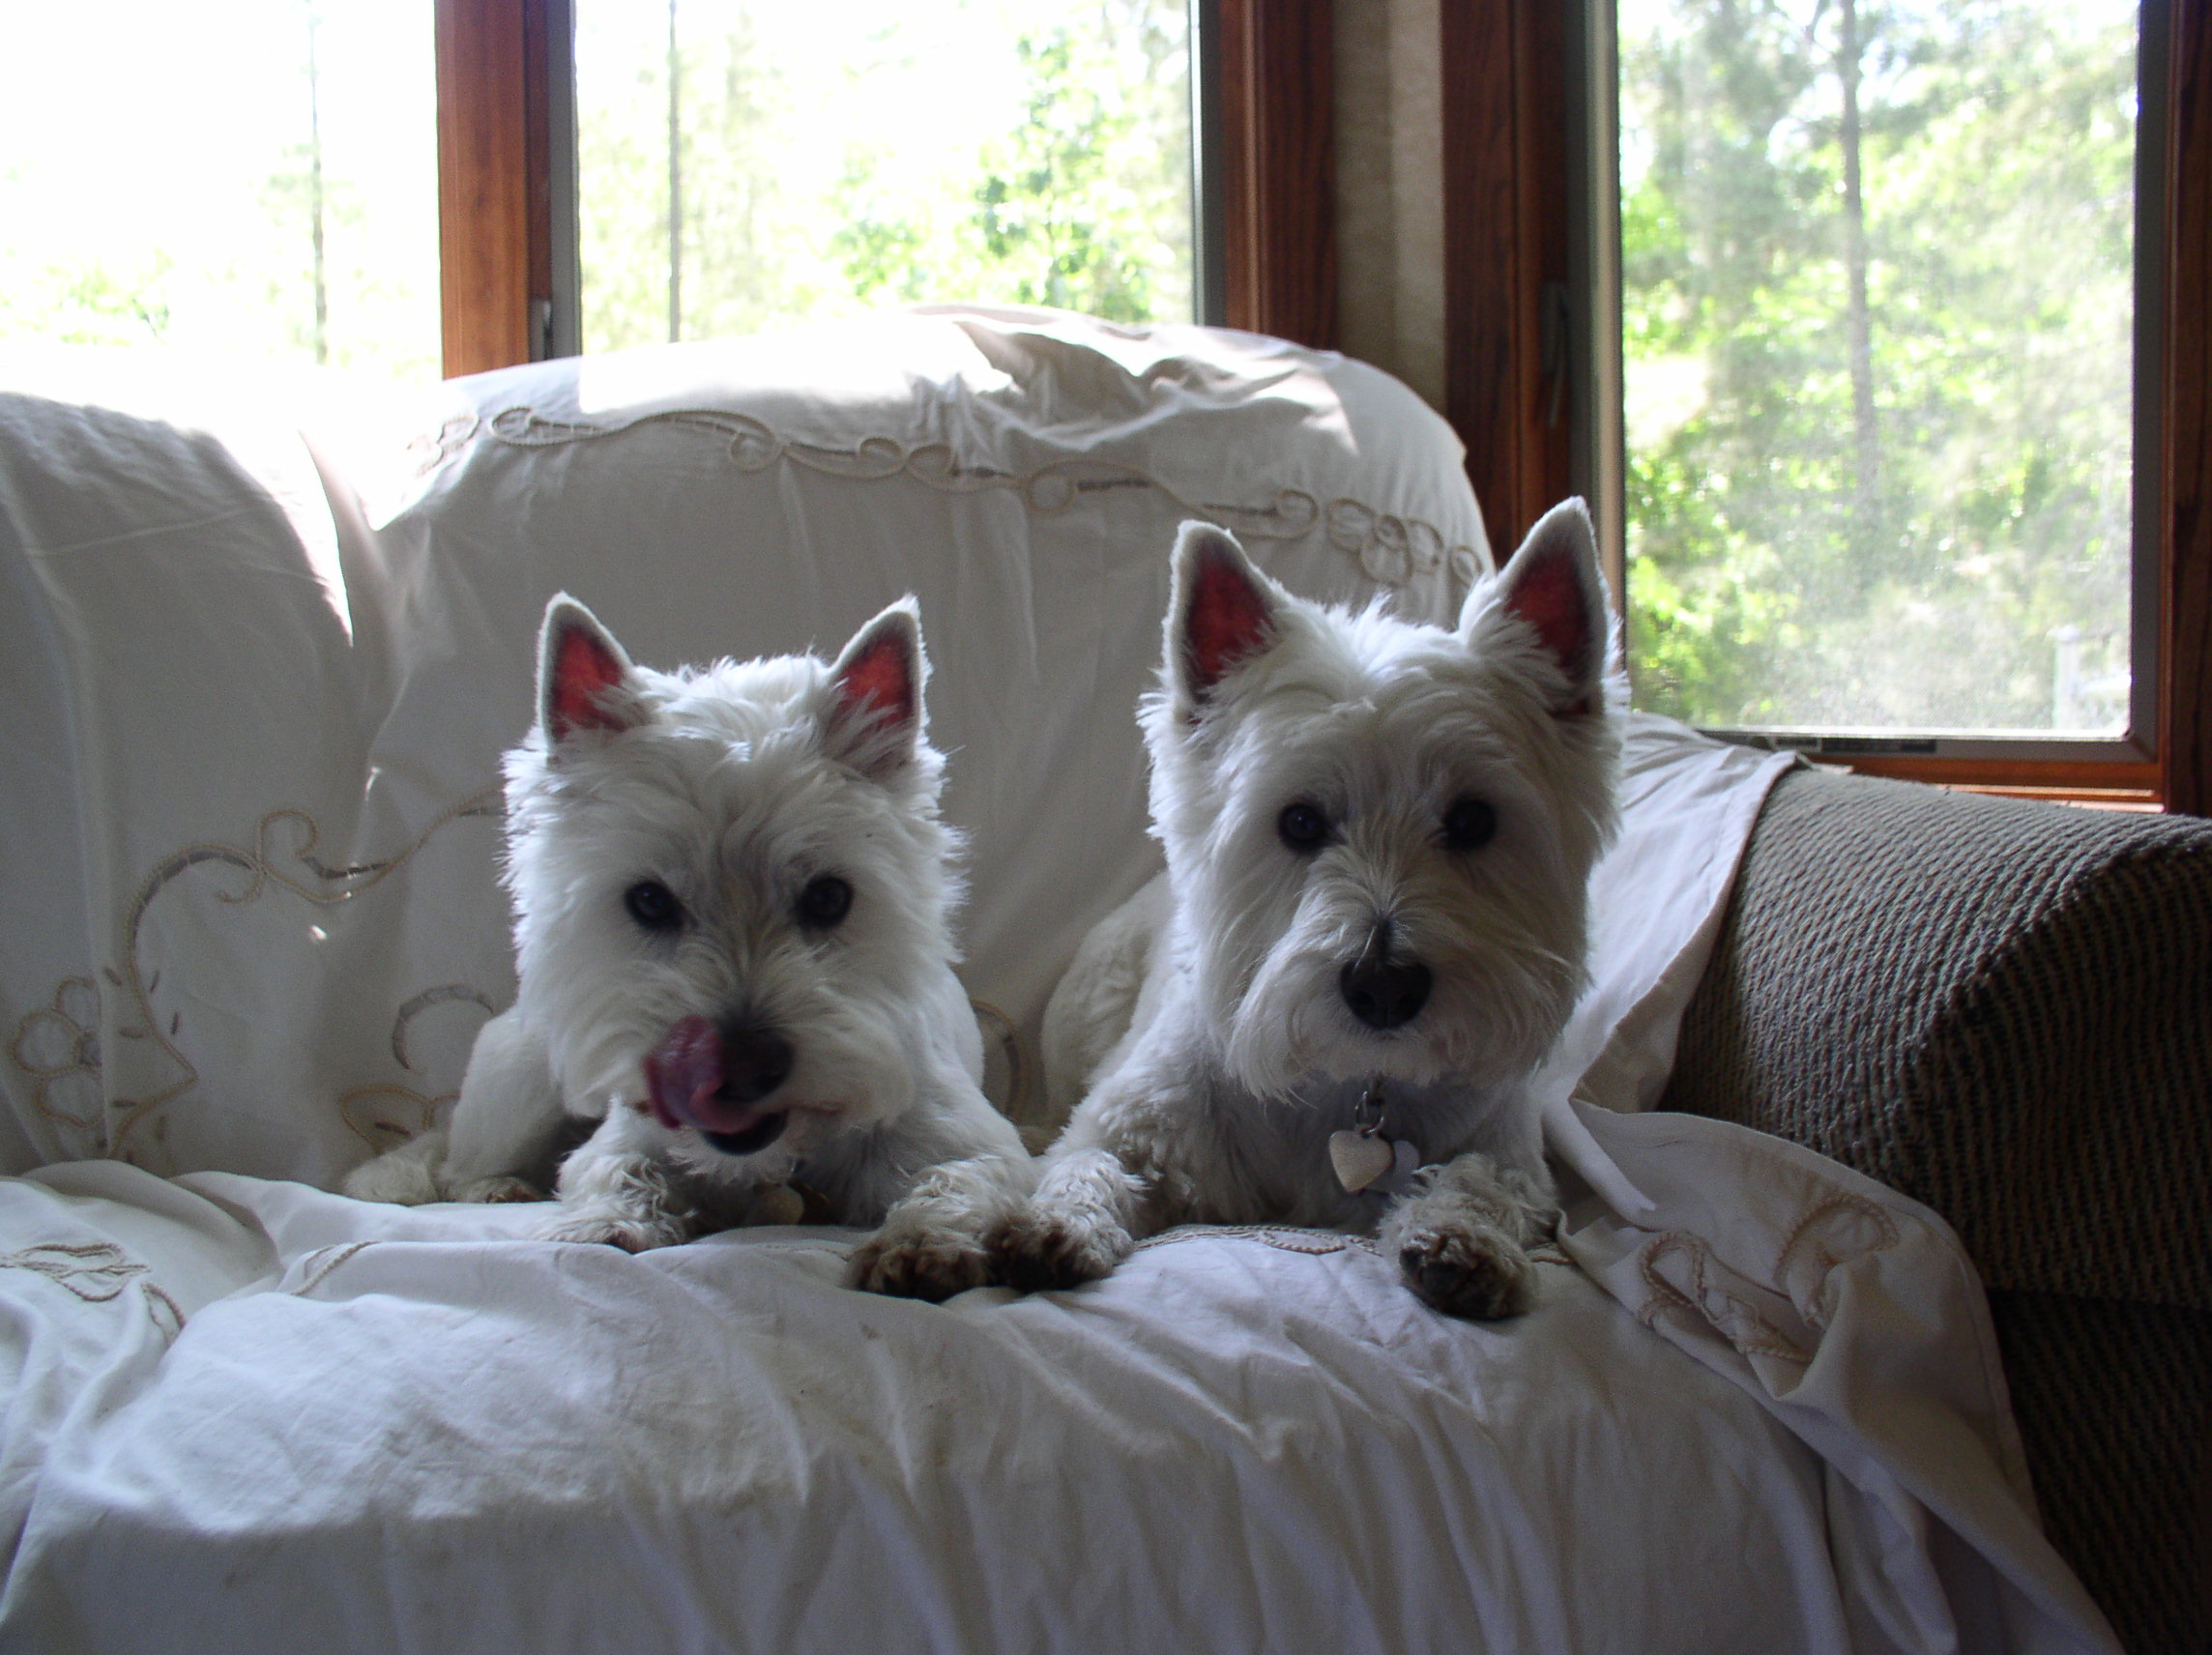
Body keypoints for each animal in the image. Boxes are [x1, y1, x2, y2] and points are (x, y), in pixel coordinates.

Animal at [340, 588, 1031, 1300]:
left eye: (828, 897)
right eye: (648, 900)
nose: (740, 1069)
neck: (776, 1161)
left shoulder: (973, 1140)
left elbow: (956, 1181)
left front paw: (917, 1245)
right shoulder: (622, 1137)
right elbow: (614, 1170)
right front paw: (597, 1225)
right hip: (520, 1085)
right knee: (457, 1163)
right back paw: (498, 1188)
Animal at [995, 504, 1618, 1319]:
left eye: (1474, 820)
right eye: (1298, 822)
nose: (1383, 985)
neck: (1353, 1084)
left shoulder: (1510, 1150)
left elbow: (1483, 1182)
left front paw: (1463, 1240)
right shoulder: (1133, 1123)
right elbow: (1084, 1162)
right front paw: (1051, 1225)